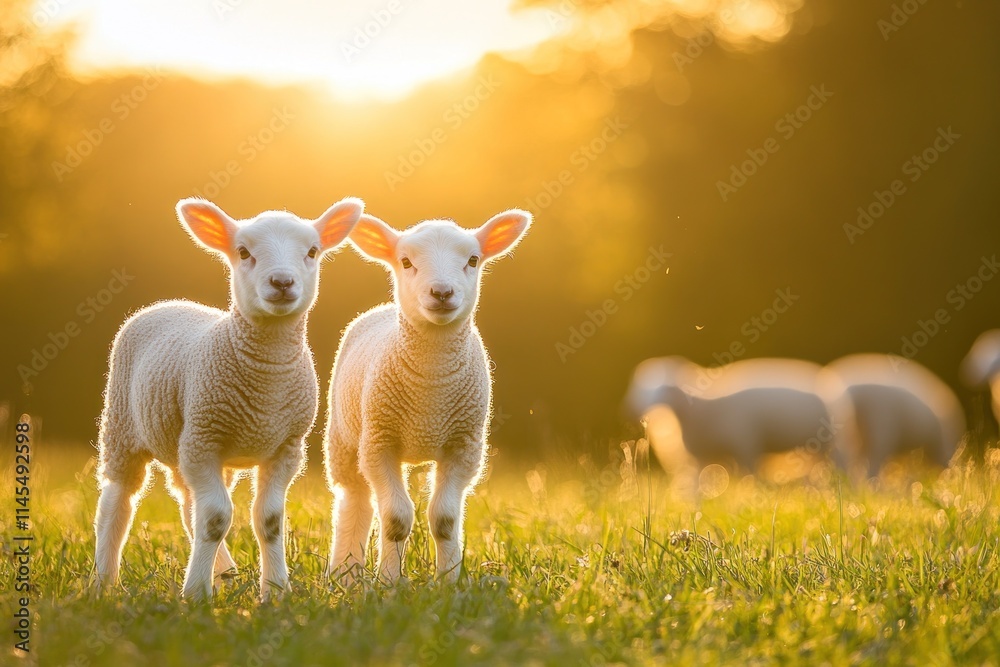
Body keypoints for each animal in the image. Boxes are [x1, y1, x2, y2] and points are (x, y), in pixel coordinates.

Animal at [93, 196, 363, 601]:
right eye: (243, 252)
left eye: (312, 251)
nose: (282, 282)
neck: (266, 381)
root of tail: (169, 302)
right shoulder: (204, 438)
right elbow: (217, 518)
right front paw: (196, 594)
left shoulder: (286, 446)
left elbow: (268, 520)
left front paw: (275, 591)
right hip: (125, 426)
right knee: (118, 501)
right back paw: (104, 583)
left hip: (194, 446)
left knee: (189, 504)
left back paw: (224, 571)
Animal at [324, 209, 531, 584]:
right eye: (405, 261)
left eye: (473, 260)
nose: (442, 292)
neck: (430, 392)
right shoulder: (379, 443)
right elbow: (396, 519)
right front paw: (389, 582)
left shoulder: (464, 446)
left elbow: (444, 520)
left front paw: (449, 581)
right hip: (344, 439)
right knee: (354, 500)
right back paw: (345, 573)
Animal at [626, 356, 855, 473]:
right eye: (642, 387)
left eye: (664, 389)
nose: (634, 409)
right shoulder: (700, 456)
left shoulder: (745, 445)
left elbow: (750, 477)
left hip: (828, 440)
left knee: (841, 462)